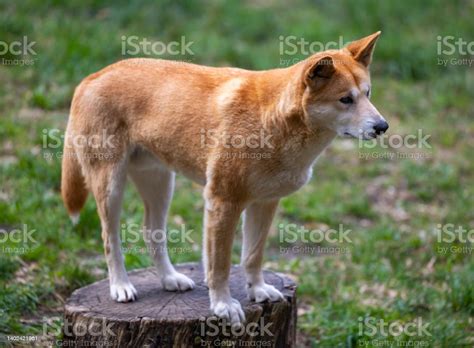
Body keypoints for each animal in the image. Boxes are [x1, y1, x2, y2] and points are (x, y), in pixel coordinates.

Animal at [61, 31, 388, 324]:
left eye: (368, 94)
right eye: (345, 99)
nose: (382, 126)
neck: (273, 120)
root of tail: (92, 76)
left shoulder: (264, 203)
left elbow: (252, 256)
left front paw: (258, 290)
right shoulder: (223, 201)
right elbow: (220, 267)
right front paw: (222, 305)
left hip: (161, 184)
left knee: (152, 233)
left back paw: (170, 279)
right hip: (111, 186)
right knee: (109, 238)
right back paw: (121, 285)